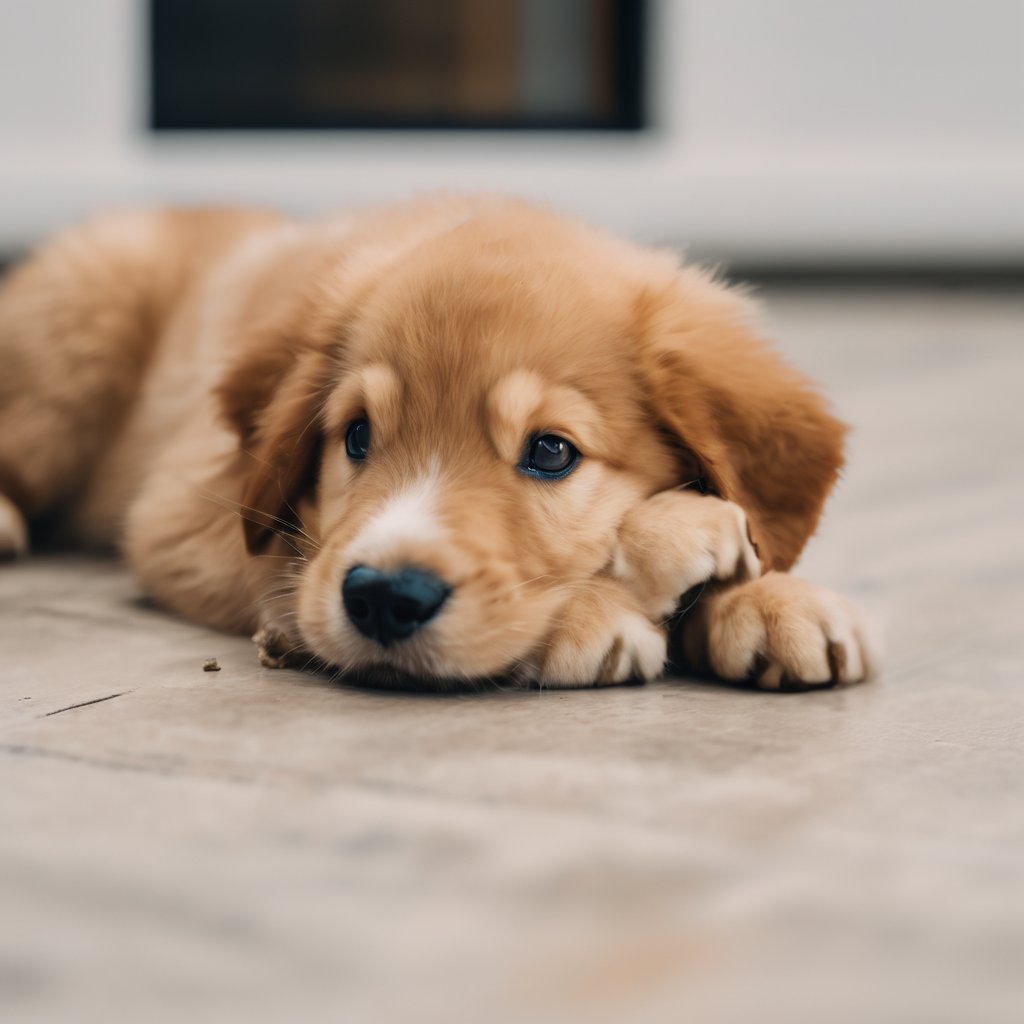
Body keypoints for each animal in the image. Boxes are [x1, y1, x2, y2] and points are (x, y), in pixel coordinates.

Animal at [2, 195, 880, 692]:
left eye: (551, 452)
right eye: (357, 435)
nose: (385, 599)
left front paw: (771, 600)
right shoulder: (183, 510)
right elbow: (290, 557)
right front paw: (596, 602)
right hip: (75, 331)